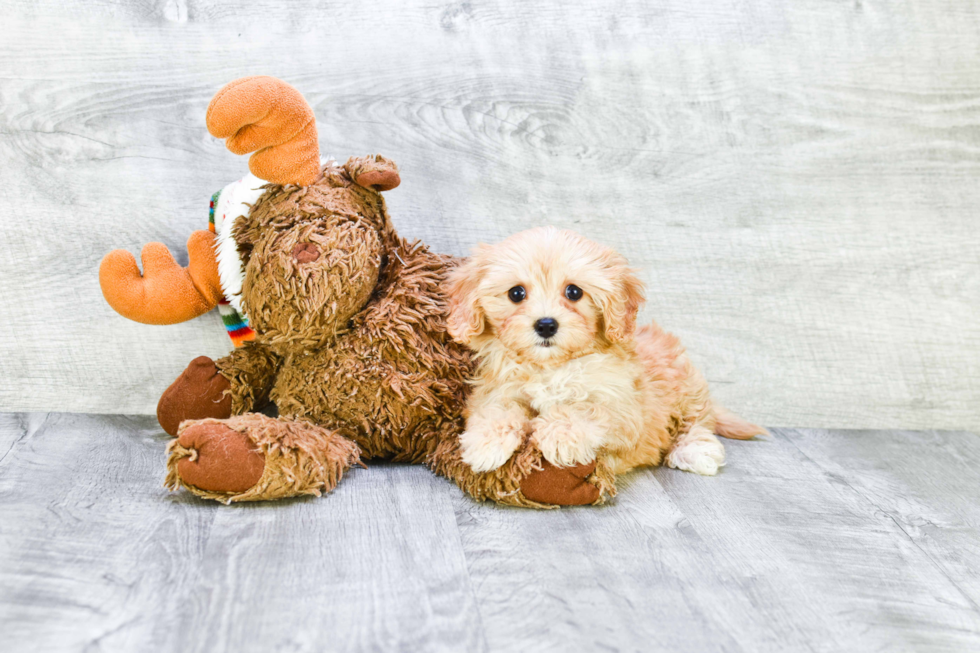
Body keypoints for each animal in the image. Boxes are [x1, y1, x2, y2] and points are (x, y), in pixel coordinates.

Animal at [446, 227, 764, 482]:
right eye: (516, 293)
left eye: (574, 292)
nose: (546, 325)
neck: (551, 367)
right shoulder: (497, 389)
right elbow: (496, 409)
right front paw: (485, 441)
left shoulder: (625, 409)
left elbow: (586, 409)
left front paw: (560, 434)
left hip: (688, 388)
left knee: (697, 423)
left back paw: (695, 451)